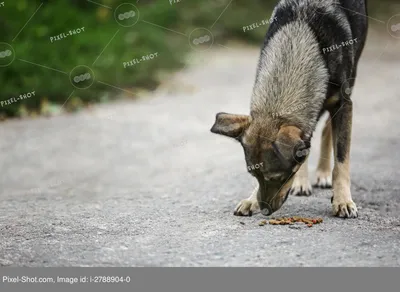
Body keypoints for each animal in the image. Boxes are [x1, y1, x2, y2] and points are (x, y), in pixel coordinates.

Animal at [209, 0, 368, 218]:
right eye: (253, 174)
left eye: (277, 177)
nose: (265, 210)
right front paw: (252, 199)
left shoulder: (343, 105)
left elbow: (342, 161)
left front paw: (342, 200)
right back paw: (302, 182)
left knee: (327, 130)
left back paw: (323, 173)